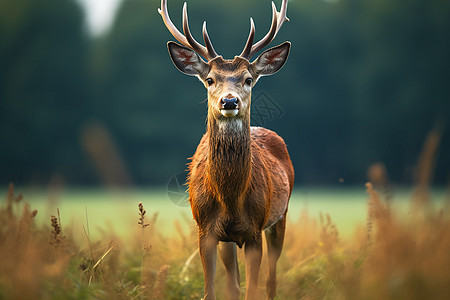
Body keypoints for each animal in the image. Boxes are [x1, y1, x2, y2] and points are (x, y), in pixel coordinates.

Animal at [159, 0, 296, 300]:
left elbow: (253, 290)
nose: (229, 101)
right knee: (233, 284)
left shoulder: (255, 229)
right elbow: (212, 291)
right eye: (210, 79)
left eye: (248, 79)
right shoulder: (205, 231)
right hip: (228, 240)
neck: (230, 198)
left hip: (280, 216)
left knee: (271, 280)